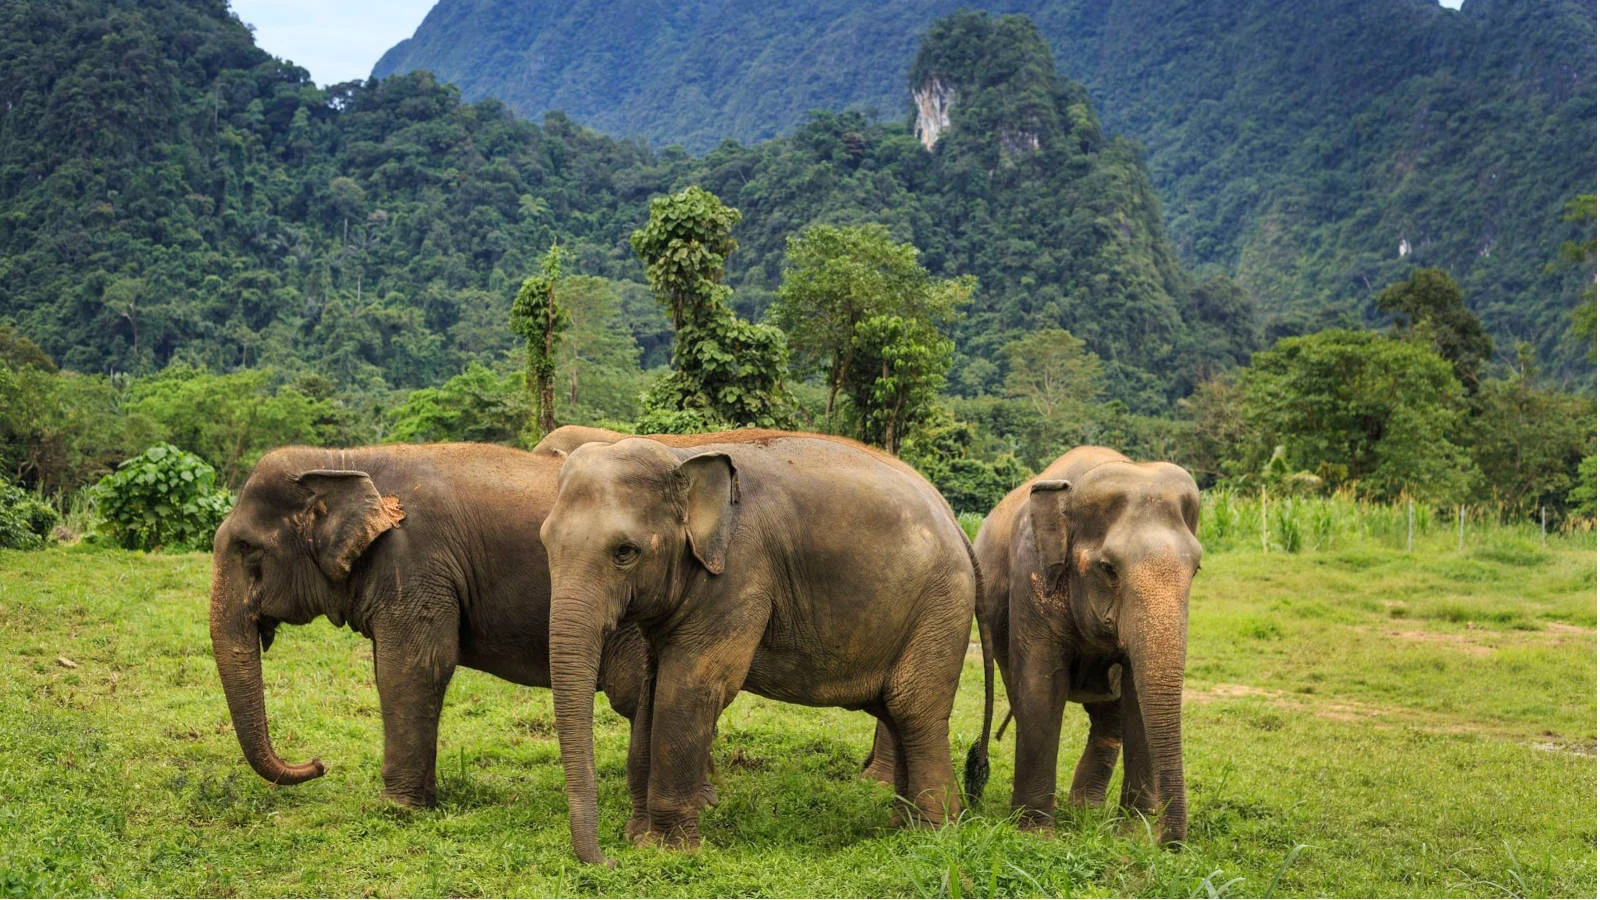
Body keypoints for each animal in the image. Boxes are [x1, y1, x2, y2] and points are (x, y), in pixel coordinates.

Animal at [208, 442, 713, 826]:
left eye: (247, 548)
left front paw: (397, 809)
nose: (318, 763)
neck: (343, 459)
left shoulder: (415, 561)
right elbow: (393, 668)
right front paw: (421, 801)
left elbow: (414, 667)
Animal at [539, 433, 991, 865]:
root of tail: (957, 526)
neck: (680, 458)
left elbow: (692, 686)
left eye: (625, 552)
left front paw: (665, 850)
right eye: (545, 542)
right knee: (895, 712)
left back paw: (931, 833)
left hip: (940, 608)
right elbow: (654, 689)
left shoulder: (739, 575)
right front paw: (638, 837)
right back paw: (902, 826)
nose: (606, 861)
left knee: (915, 711)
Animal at [972, 446, 1201, 845]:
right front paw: (1036, 835)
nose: (1168, 845)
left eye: (1197, 569)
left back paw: (1086, 811)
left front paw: (1132, 834)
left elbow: (1137, 697)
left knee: (1109, 717)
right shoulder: (1031, 575)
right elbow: (1040, 687)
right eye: (1108, 568)